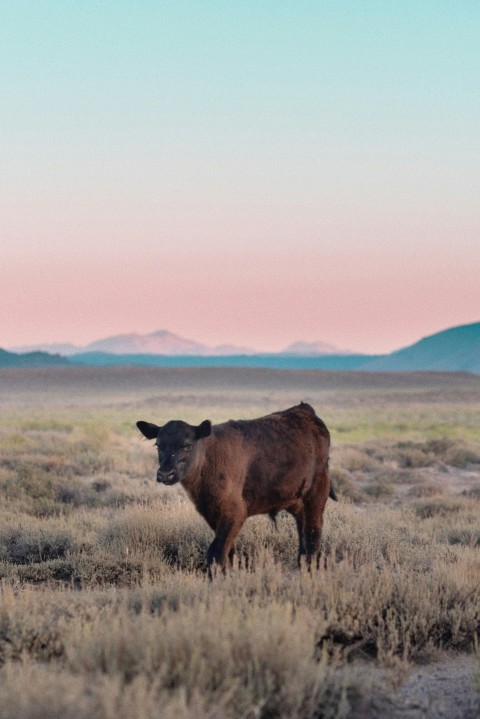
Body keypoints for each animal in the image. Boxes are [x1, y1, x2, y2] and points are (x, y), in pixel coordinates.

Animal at [137, 404, 336, 572]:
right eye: (158, 445)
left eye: (186, 445)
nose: (165, 474)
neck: (209, 458)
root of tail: (305, 411)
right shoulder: (212, 514)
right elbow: (228, 552)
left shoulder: (235, 512)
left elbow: (216, 553)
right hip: (296, 499)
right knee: (303, 527)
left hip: (317, 492)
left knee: (313, 531)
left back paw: (310, 568)